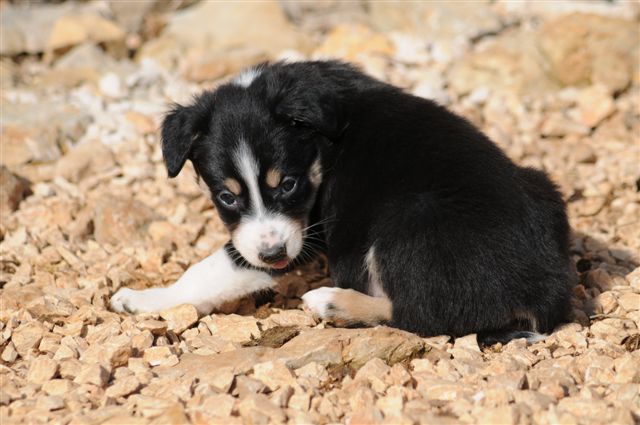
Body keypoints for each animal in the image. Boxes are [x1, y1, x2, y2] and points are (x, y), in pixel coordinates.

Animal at [111, 60, 576, 344]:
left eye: (289, 185)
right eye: (227, 196)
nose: (273, 254)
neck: (322, 143)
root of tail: (546, 287)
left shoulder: (308, 231)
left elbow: (211, 269)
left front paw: (144, 300)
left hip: (408, 219)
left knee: (422, 314)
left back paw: (333, 302)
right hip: (541, 184)